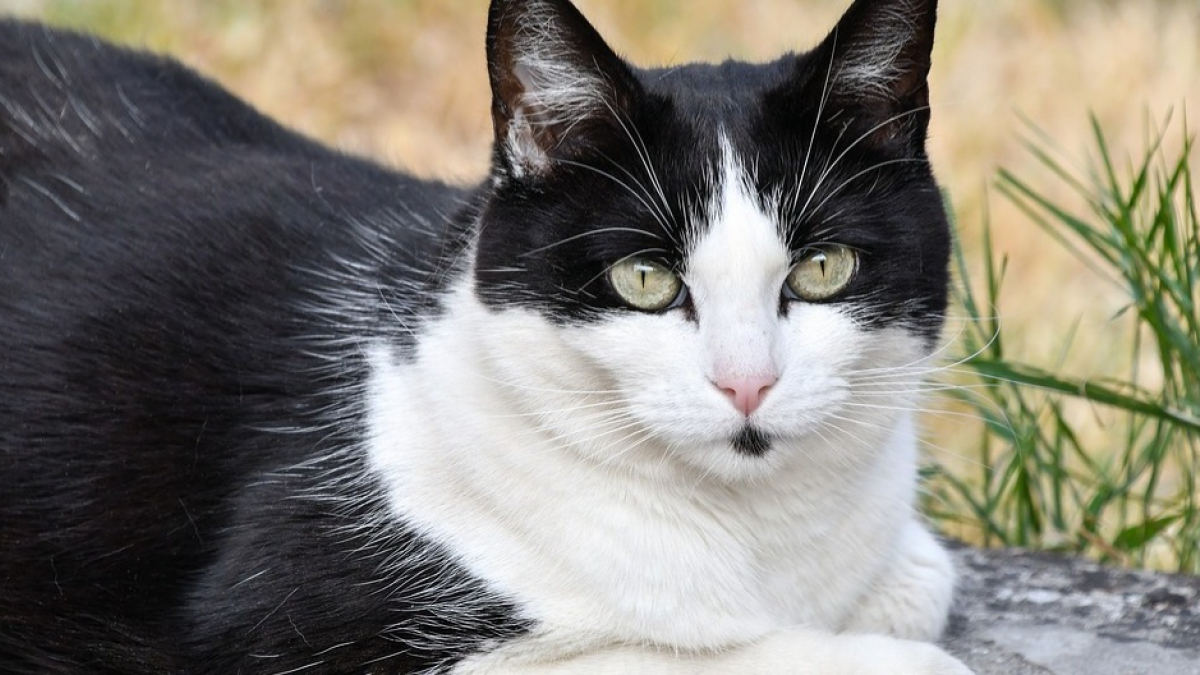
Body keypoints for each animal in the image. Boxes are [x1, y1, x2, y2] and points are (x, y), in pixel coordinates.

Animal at [0, 0, 969, 667]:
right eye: (645, 279)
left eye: (823, 268)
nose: (747, 383)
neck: (764, 546)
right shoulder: (279, 621)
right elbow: (662, 653)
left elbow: (923, 580)